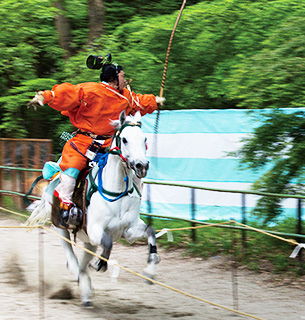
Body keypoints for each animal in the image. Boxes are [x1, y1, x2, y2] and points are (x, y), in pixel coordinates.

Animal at [25, 111, 159, 306]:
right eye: (125, 139)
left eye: (144, 139)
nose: (142, 165)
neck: (116, 191)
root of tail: (53, 182)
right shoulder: (96, 229)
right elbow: (108, 244)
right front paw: (98, 265)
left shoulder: (128, 230)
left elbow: (150, 231)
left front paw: (150, 270)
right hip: (61, 228)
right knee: (72, 260)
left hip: (89, 241)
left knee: (81, 265)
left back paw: (86, 291)